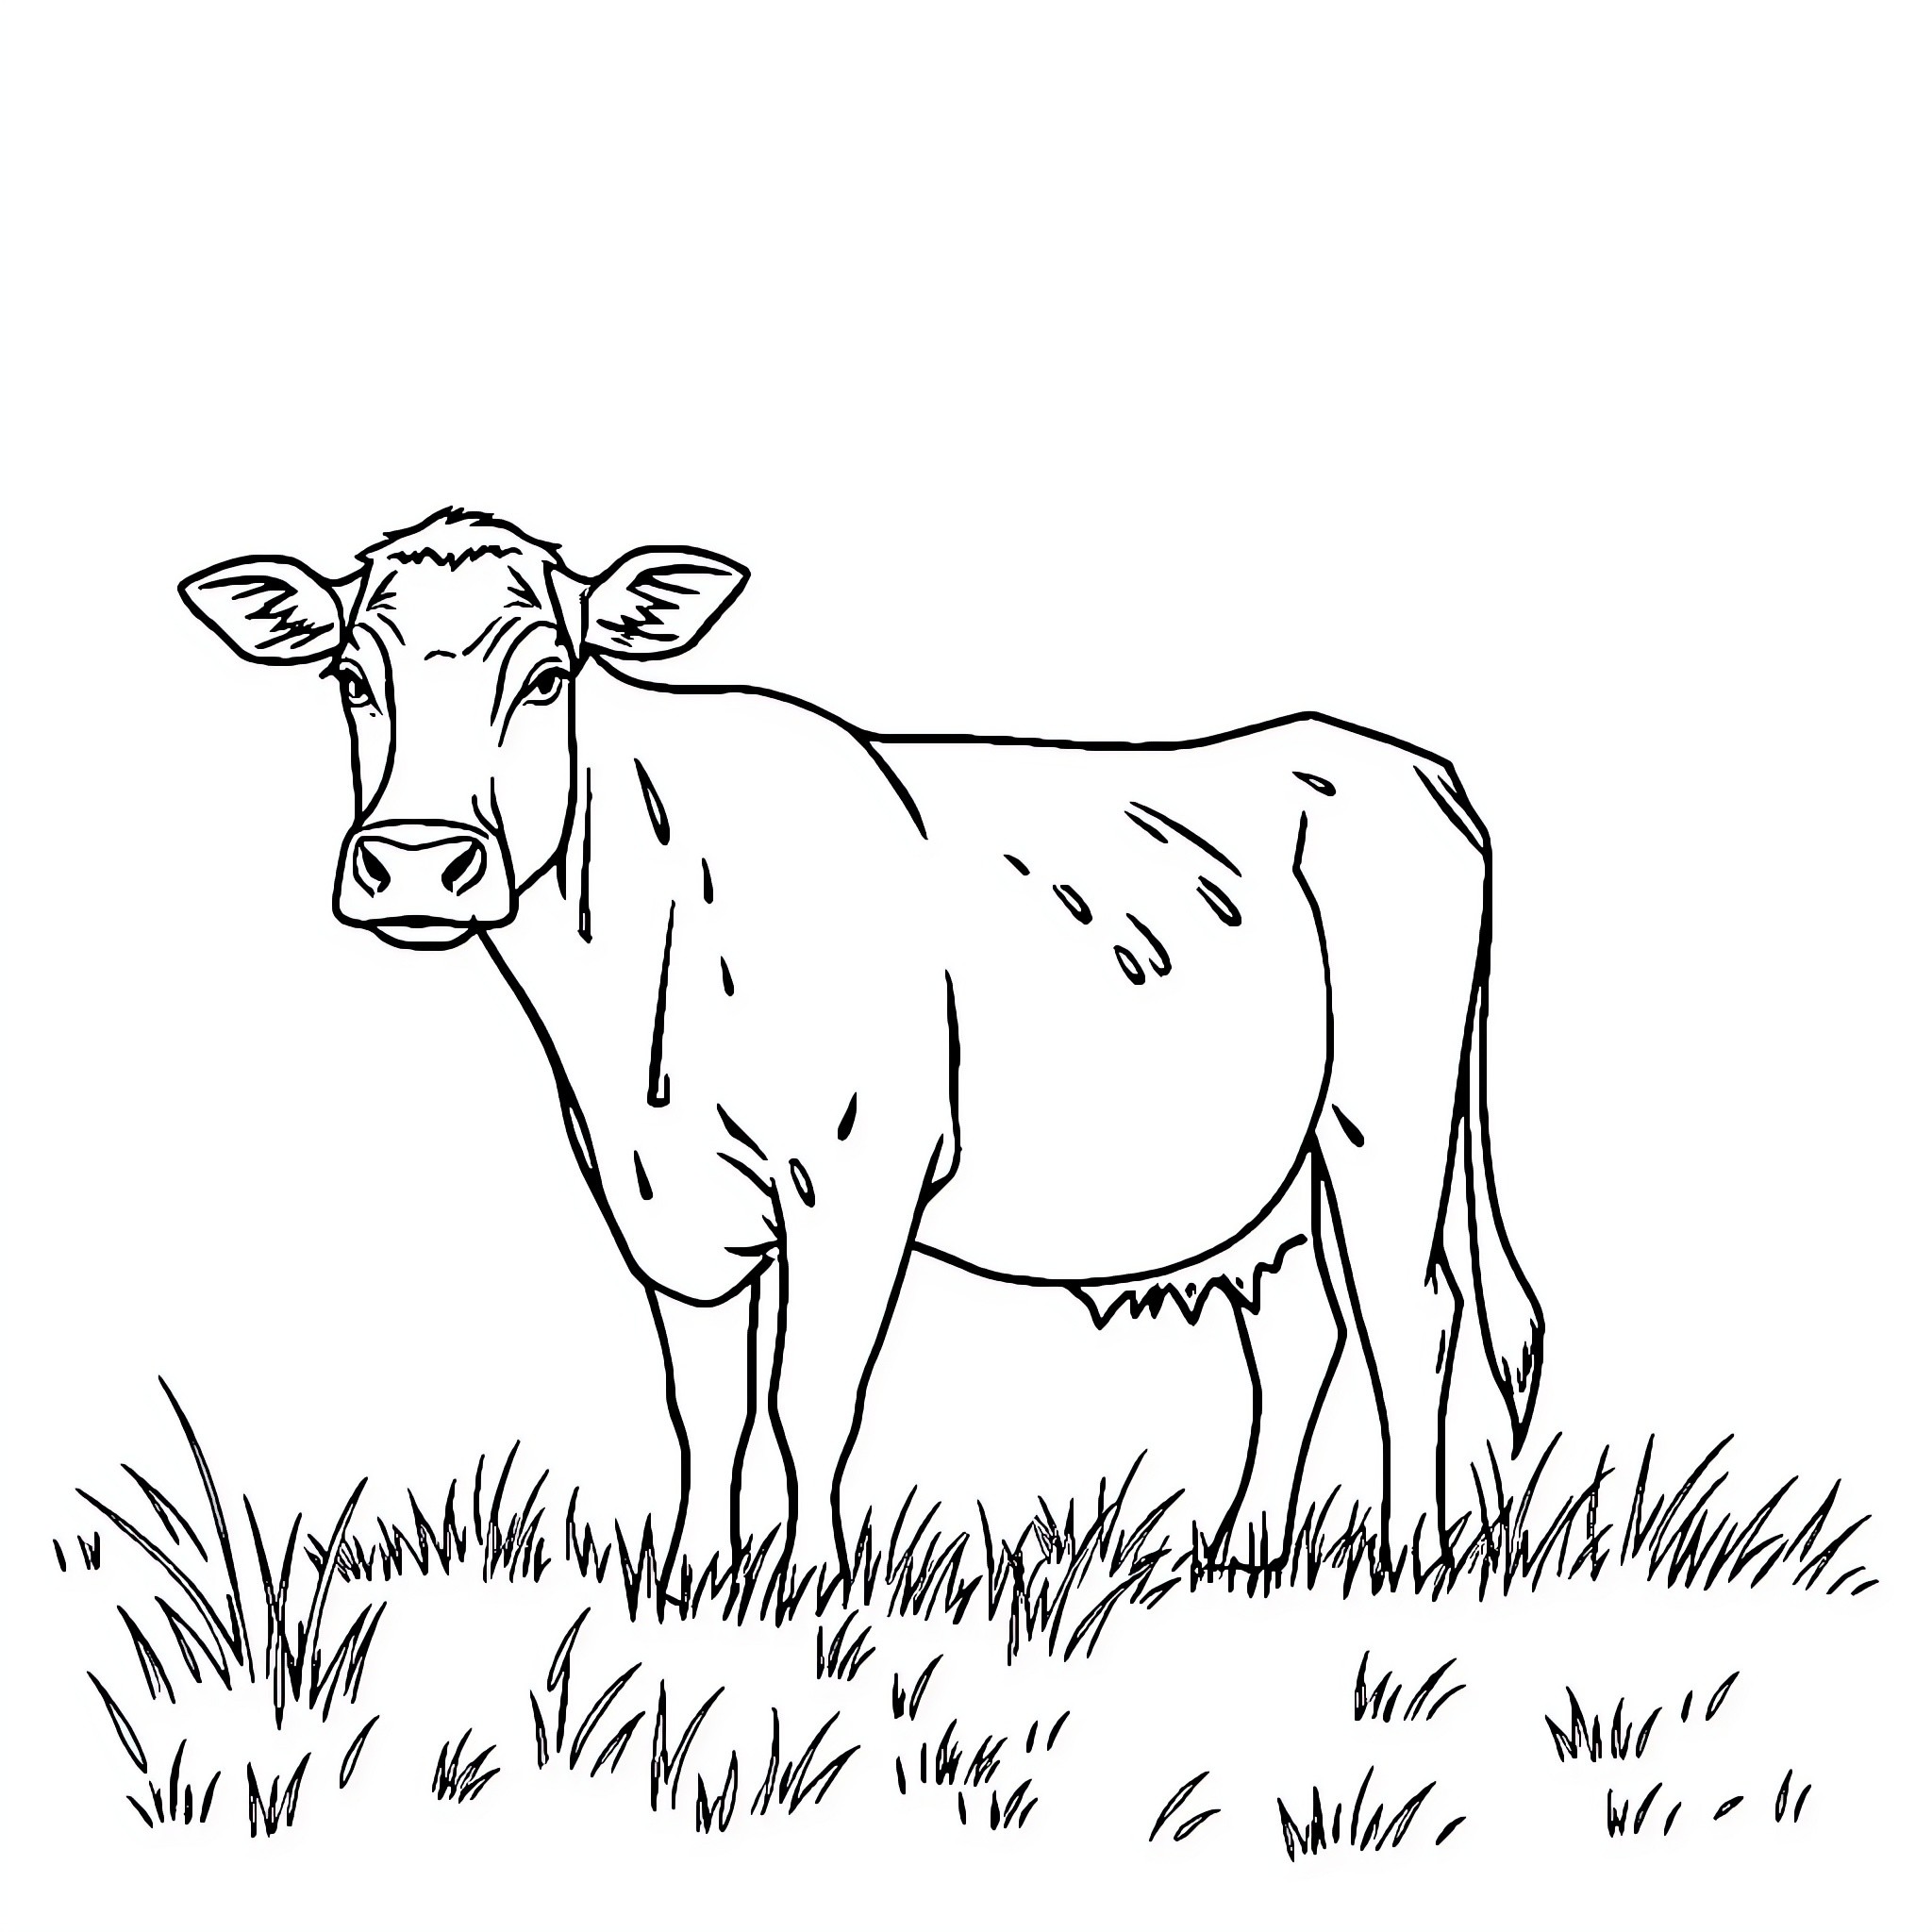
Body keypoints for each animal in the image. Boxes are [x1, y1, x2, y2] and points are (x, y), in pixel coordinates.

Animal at [182, 507, 1544, 1588]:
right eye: (351, 676)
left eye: (550, 675)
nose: (417, 862)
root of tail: (1393, 759)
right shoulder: (660, 1203)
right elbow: (706, 1402)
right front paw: (693, 1579)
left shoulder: (856, 1177)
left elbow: (808, 1394)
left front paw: (813, 1584)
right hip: (1271, 1178)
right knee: (1299, 1335)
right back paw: (1242, 1550)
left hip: (1383, 1124)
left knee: (1408, 1318)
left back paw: (1407, 1555)